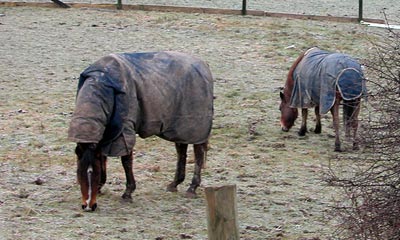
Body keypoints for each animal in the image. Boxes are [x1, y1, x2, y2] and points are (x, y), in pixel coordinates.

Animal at [67, 51, 214, 211]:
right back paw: (174, 184)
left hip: (195, 127)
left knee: (198, 154)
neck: (105, 83)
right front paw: (101, 186)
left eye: (94, 172)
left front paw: (127, 193)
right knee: (181, 151)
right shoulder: (107, 133)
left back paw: (192, 187)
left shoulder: (124, 131)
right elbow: (104, 157)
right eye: (79, 172)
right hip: (179, 127)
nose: (88, 206)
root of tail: (203, 64)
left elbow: (126, 161)